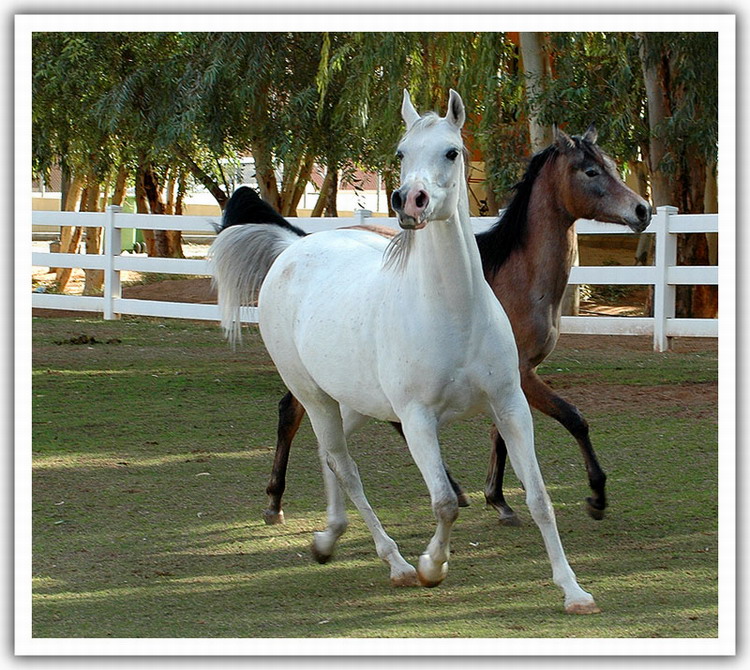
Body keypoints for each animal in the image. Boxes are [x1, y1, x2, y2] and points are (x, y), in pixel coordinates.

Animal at [210, 92, 600, 616]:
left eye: (452, 151)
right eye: (401, 152)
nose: (409, 201)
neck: (453, 312)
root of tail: (293, 247)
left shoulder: (511, 404)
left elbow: (539, 498)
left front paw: (573, 591)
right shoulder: (417, 418)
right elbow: (444, 502)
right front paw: (432, 566)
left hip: (353, 400)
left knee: (331, 455)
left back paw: (328, 539)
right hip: (314, 395)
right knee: (345, 466)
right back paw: (393, 562)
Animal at [228, 124, 652, 524]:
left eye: (612, 165)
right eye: (591, 170)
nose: (642, 210)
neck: (514, 276)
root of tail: (297, 246)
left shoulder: (508, 380)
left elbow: (503, 435)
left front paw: (497, 498)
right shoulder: (521, 374)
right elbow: (573, 418)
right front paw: (595, 495)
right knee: (291, 413)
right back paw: (274, 501)